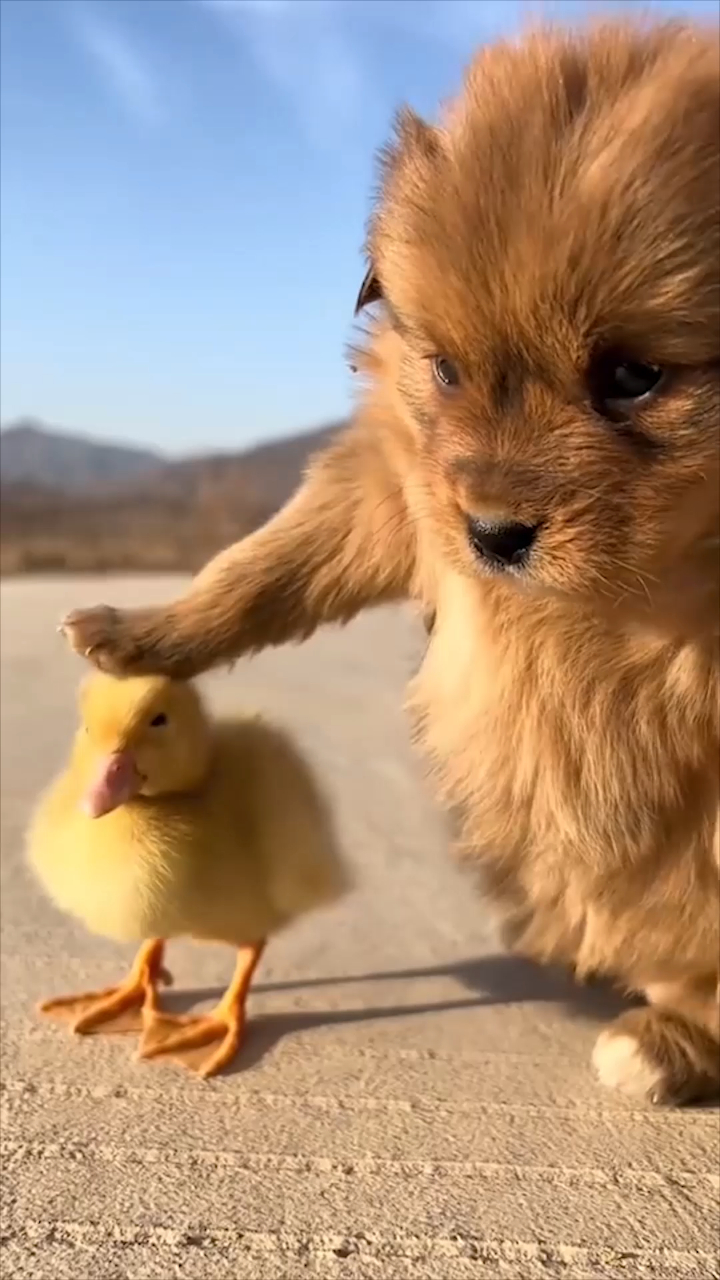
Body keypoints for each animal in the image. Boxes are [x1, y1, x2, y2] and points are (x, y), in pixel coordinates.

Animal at [63, 17, 717, 1100]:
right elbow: (266, 565)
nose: (494, 535)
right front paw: (140, 631)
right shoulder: (394, 490)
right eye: (447, 369)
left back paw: (666, 1043)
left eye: (633, 377)